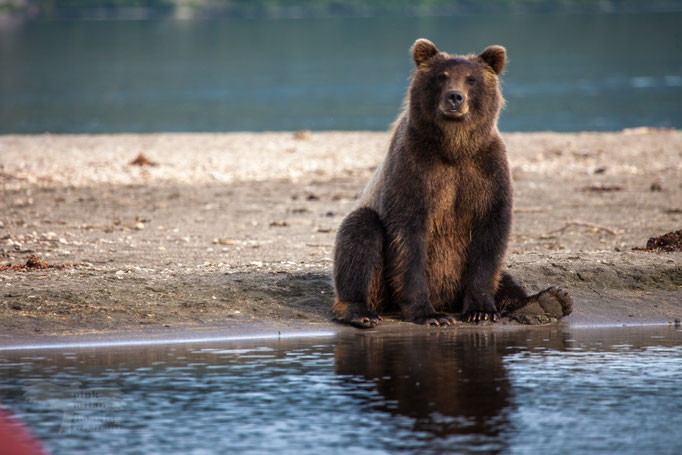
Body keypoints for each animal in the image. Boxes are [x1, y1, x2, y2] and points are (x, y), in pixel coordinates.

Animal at [332, 38, 573, 328]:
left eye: (471, 79)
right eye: (441, 76)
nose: (455, 97)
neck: (454, 148)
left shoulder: (486, 170)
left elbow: (490, 241)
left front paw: (481, 310)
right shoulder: (414, 168)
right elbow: (408, 241)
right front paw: (430, 315)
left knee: (504, 278)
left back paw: (548, 300)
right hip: (379, 278)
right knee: (360, 234)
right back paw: (360, 312)